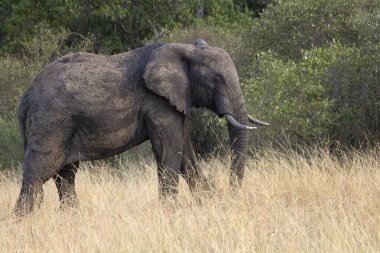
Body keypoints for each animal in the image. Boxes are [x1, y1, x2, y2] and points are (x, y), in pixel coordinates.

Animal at [13, 38, 268, 214]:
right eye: (216, 80)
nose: (230, 194)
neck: (185, 49)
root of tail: (24, 100)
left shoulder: (175, 101)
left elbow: (185, 152)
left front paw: (206, 201)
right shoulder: (157, 103)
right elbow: (169, 149)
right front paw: (169, 212)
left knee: (65, 177)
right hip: (51, 122)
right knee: (37, 175)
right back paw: (23, 221)